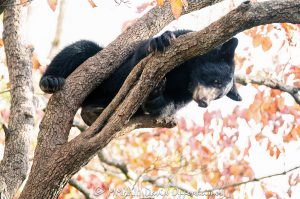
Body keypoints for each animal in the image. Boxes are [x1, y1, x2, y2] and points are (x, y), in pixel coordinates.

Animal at [39, 30, 241, 125]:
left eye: (219, 96)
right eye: (216, 80)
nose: (204, 103)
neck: (188, 76)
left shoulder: (185, 94)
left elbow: (166, 106)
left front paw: (156, 94)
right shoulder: (187, 38)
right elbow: (140, 55)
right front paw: (161, 40)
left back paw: (92, 112)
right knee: (81, 48)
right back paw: (50, 81)